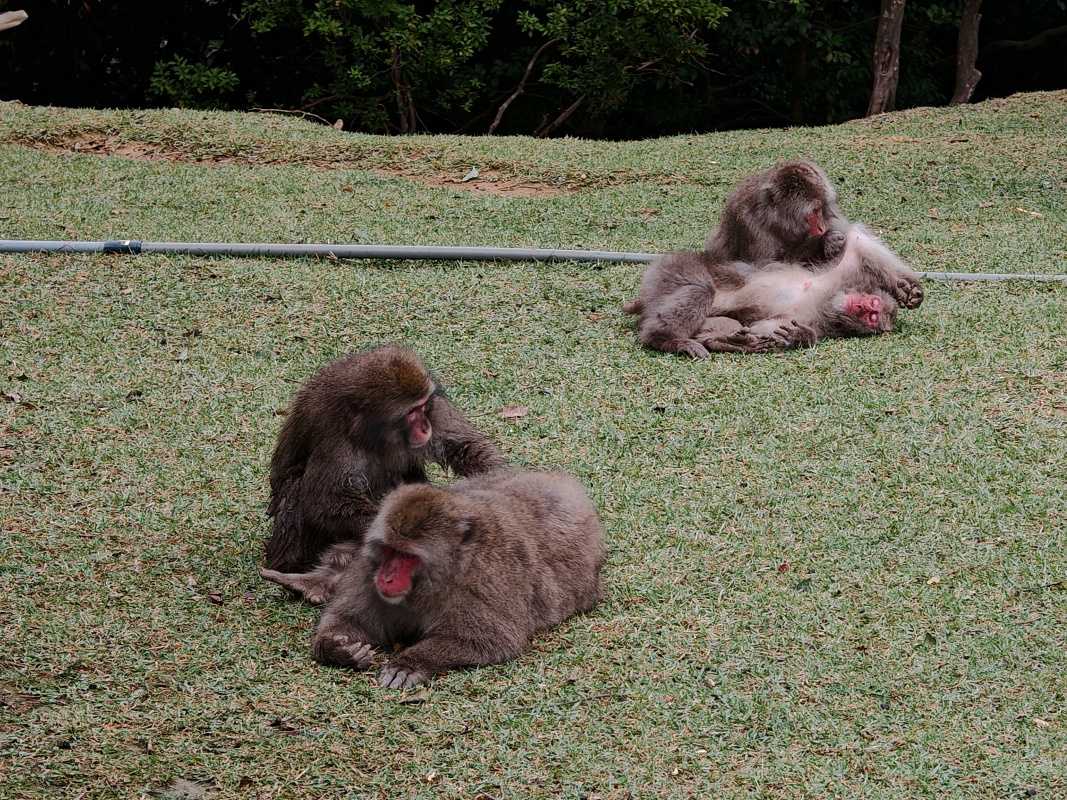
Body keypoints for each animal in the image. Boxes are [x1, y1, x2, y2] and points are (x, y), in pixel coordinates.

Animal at [261, 470, 605, 689]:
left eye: (407, 557)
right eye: (389, 550)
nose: (386, 577)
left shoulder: (484, 582)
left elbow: (493, 639)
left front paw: (410, 663)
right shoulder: (368, 571)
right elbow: (349, 618)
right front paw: (338, 648)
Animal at [264, 345, 507, 574]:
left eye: (422, 406)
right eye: (411, 413)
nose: (425, 427)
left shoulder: (435, 408)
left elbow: (465, 446)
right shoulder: (337, 441)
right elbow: (325, 502)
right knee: (295, 485)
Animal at [623, 225, 923, 357]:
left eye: (872, 317)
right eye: (872, 305)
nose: (863, 307)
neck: (827, 304)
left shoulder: (817, 322)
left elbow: (770, 329)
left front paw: (797, 336)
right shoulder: (841, 278)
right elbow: (857, 245)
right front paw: (906, 287)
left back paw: (723, 341)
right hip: (674, 269)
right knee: (700, 289)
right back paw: (665, 338)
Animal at [704, 160, 851, 267]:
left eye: (820, 209)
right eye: (814, 212)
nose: (822, 228)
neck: (775, 221)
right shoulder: (750, 225)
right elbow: (768, 266)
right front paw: (824, 242)